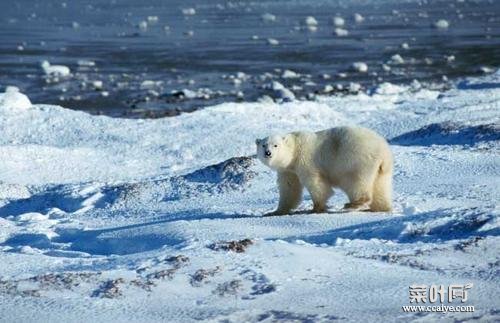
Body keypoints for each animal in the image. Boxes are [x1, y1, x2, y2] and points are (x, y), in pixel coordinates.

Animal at [258, 126, 394, 215]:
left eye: (276, 145)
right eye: (263, 145)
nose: (268, 153)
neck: (295, 150)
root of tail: (384, 151)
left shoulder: (305, 161)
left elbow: (316, 184)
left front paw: (316, 208)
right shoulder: (288, 170)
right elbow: (289, 188)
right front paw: (276, 211)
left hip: (356, 161)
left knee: (355, 182)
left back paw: (353, 204)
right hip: (381, 170)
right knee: (380, 186)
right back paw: (381, 208)